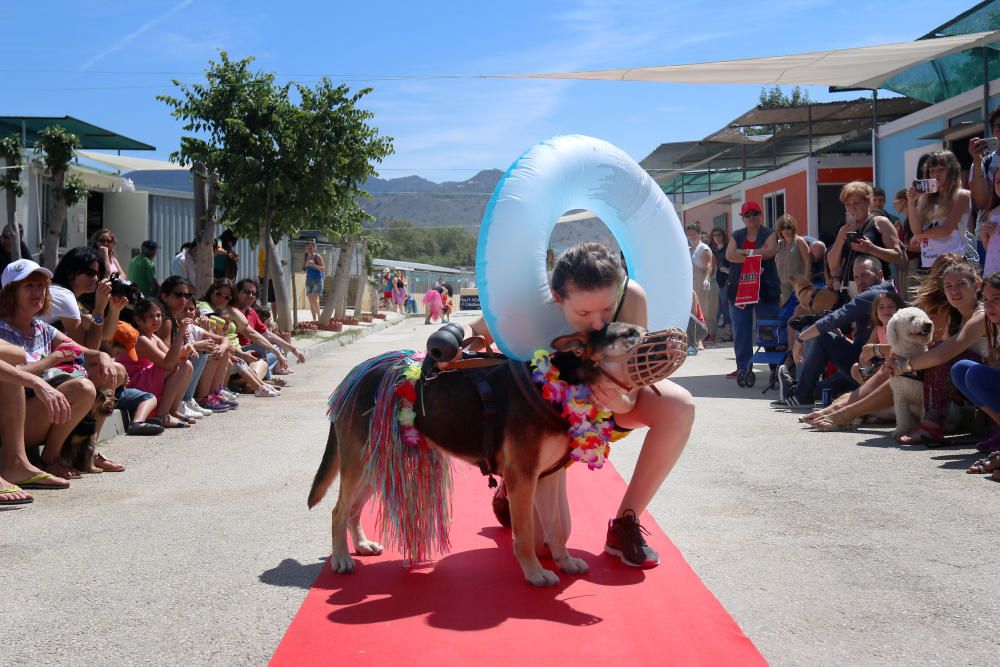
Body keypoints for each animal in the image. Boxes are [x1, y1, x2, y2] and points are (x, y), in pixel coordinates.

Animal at [308, 322, 684, 584]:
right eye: (630, 334)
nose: (685, 335)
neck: (562, 382)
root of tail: (358, 373)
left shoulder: (548, 478)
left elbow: (555, 529)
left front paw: (563, 561)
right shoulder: (523, 478)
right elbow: (527, 534)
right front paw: (534, 573)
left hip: (375, 463)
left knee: (353, 509)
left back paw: (360, 545)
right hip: (360, 462)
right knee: (338, 510)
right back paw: (341, 559)